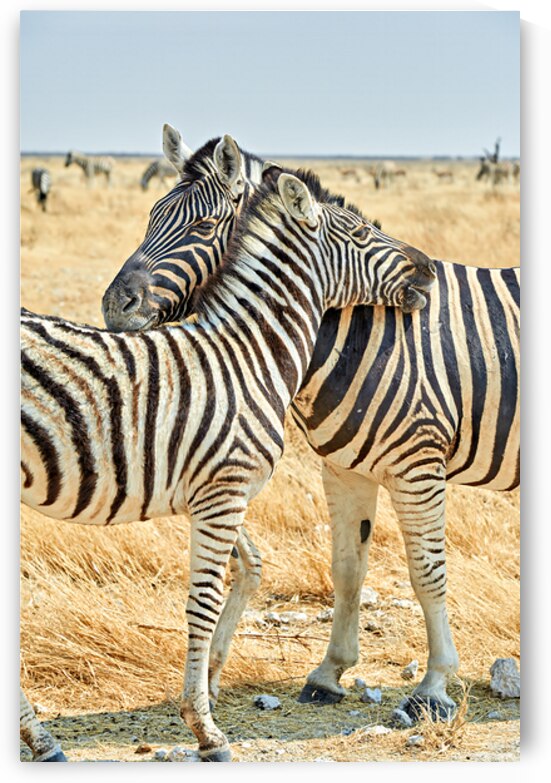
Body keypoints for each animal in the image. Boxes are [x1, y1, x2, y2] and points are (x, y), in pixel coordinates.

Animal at [21, 158, 433, 761]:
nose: (429, 269)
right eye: (361, 232)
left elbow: (246, 568)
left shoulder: (217, 492)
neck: (249, 353)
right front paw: (204, 727)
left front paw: (209, 689)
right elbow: (203, 600)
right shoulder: (223, 491)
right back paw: (41, 736)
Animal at [103, 125, 520, 720]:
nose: (114, 305)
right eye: (150, 216)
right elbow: (347, 568)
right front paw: (329, 673)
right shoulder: (344, 467)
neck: (360, 329)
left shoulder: (419, 464)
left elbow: (426, 571)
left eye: (203, 227)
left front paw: (435, 685)